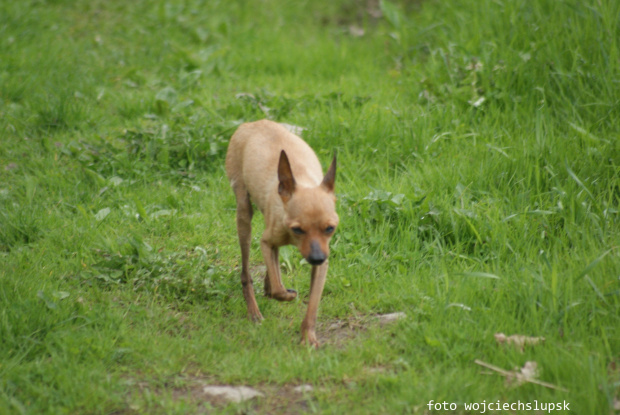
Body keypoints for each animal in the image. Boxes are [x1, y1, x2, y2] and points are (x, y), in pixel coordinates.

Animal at [224, 120, 336, 348]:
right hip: (244, 215)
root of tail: (251, 123)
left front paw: (308, 337)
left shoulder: (322, 264)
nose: (316, 258)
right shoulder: (266, 243)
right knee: (246, 273)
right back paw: (254, 311)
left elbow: (313, 305)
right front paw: (285, 294)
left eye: (330, 228)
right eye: (298, 229)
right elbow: (278, 289)